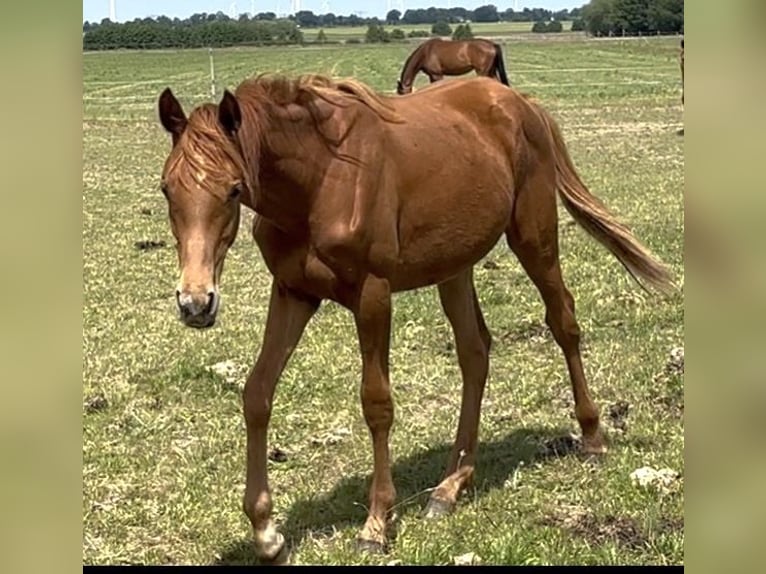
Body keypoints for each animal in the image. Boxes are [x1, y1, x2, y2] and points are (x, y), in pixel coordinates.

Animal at [157, 73, 674, 562]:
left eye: (234, 189)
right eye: (166, 189)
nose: (195, 302)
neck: (320, 179)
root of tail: (520, 102)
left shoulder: (373, 294)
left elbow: (376, 404)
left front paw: (375, 524)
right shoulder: (292, 293)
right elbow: (257, 394)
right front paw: (267, 535)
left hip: (534, 235)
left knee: (562, 321)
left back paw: (592, 436)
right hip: (455, 266)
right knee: (474, 352)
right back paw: (450, 485)